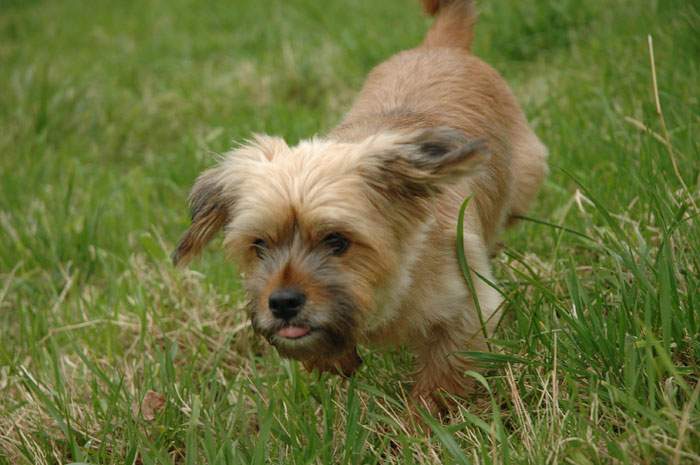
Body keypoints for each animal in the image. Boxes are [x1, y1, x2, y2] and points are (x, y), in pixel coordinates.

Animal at [171, 0, 548, 414]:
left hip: (525, 178)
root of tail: (440, 47)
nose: (282, 302)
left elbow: (440, 376)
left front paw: (418, 423)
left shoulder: (468, 309)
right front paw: (336, 358)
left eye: (338, 242)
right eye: (259, 246)